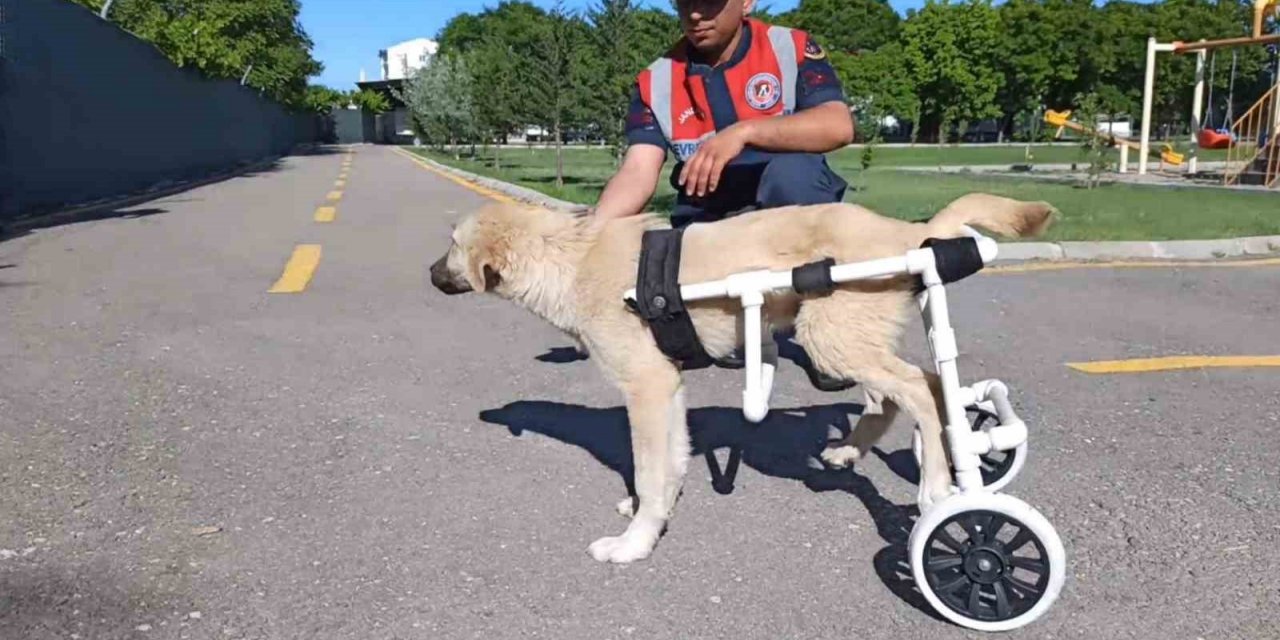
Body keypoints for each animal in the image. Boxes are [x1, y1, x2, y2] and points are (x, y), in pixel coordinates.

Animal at [427, 192, 1049, 563]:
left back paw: (939, 486)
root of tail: (906, 232)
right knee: (916, 389)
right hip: (852, 338)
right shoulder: (668, 389)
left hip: (832, 337)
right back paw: (859, 451)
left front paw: (634, 544)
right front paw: (654, 513)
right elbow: (669, 463)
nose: (428, 273)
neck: (570, 259)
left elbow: (650, 468)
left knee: (920, 389)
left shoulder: (647, 388)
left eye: (452, 246)